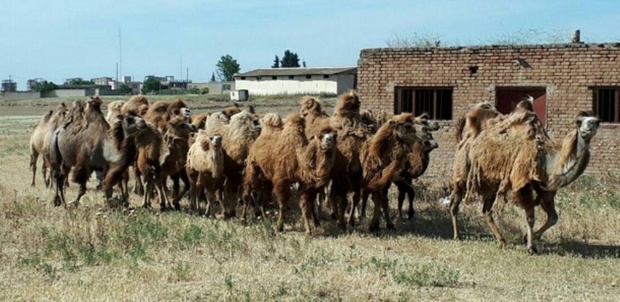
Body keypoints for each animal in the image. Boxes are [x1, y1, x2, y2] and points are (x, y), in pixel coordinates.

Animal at [450, 109, 600, 254]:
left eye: (596, 121)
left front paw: (526, 238)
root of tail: (463, 140)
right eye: (579, 122)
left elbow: (553, 217)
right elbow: (530, 217)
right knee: (455, 202)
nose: (590, 127)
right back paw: (457, 236)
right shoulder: (524, 184)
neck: (547, 161)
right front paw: (530, 247)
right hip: (462, 170)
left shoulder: (544, 188)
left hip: (492, 182)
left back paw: (502, 241)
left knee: (486, 210)